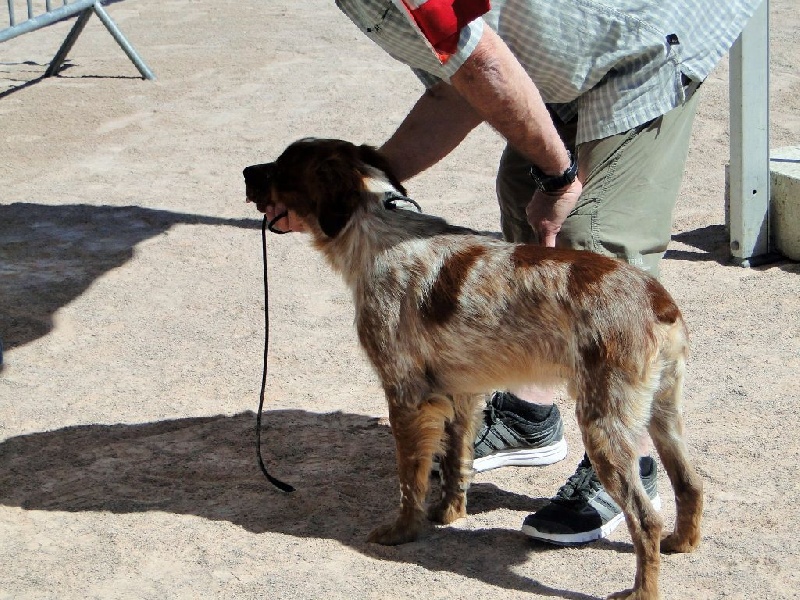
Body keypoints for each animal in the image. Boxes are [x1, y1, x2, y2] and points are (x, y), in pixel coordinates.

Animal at [242, 137, 700, 600]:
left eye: (281, 168)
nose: (245, 172)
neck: (374, 227)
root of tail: (658, 301)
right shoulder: (462, 394)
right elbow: (454, 460)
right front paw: (449, 513)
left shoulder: (405, 396)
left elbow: (410, 477)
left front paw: (402, 530)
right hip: (664, 414)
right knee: (689, 483)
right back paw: (682, 543)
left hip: (603, 423)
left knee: (645, 517)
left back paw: (642, 591)